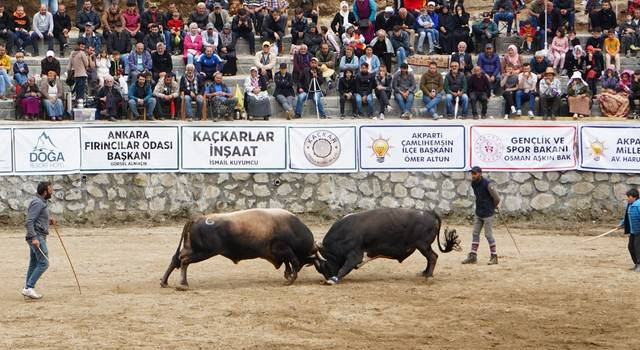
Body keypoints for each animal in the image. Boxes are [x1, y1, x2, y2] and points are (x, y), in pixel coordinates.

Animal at [160, 209, 320, 288]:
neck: (292, 228)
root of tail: (197, 219)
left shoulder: (281, 252)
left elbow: (288, 263)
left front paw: (288, 274)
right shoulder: (284, 248)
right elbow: (293, 261)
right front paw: (291, 279)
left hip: (192, 248)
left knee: (177, 259)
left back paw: (164, 282)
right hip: (202, 252)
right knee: (184, 261)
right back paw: (183, 284)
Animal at [314, 208, 460, 284]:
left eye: (323, 266)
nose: (327, 277)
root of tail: (428, 212)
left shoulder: (355, 255)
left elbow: (344, 268)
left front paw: (334, 280)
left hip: (422, 245)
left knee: (433, 257)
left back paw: (428, 275)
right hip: (423, 246)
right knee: (431, 257)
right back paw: (424, 272)